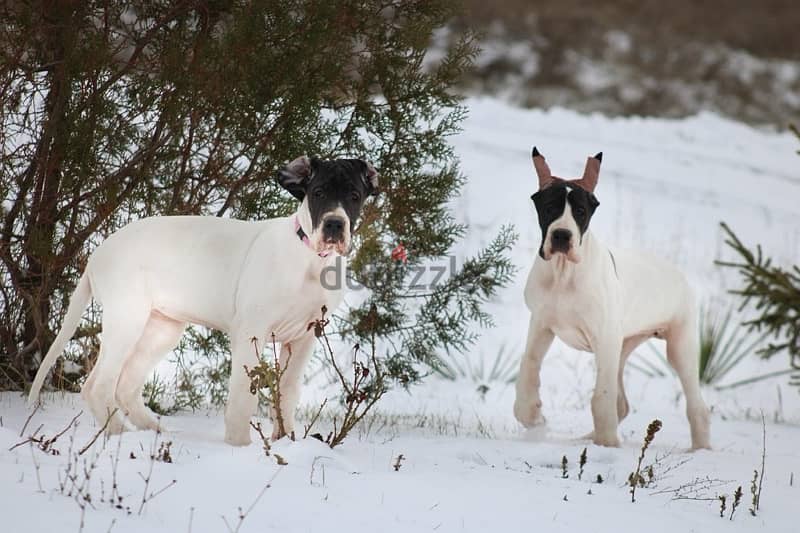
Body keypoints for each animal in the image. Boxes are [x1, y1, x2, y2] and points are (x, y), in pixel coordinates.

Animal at [29, 155, 380, 444]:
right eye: (318, 193)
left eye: (354, 196)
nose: (334, 224)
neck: (310, 259)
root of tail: (98, 253)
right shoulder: (251, 333)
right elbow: (243, 398)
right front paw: (240, 449)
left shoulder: (305, 336)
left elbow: (288, 393)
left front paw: (286, 442)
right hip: (127, 319)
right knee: (97, 386)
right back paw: (118, 436)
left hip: (161, 329)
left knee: (126, 386)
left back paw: (152, 431)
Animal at [512, 147, 712, 448]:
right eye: (549, 208)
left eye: (580, 212)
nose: (562, 235)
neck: (564, 274)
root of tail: (680, 275)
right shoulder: (541, 324)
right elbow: (528, 366)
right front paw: (532, 416)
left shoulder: (603, 338)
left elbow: (601, 398)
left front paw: (607, 443)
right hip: (623, 345)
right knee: (622, 404)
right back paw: (586, 438)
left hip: (679, 345)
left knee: (696, 406)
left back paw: (700, 450)